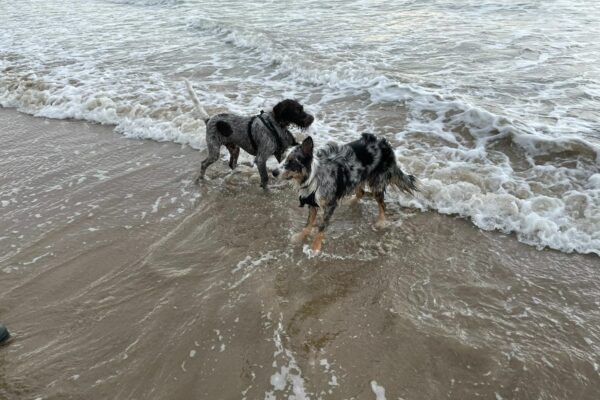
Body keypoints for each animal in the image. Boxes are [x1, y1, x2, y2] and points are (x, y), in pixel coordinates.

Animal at [183, 80, 314, 190]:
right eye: (297, 111)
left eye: (302, 108)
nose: (312, 118)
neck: (273, 124)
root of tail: (209, 119)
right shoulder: (261, 159)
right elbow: (265, 178)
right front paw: (267, 190)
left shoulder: (279, 153)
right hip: (214, 152)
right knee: (204, 164)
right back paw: (202, 178)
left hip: (235, 149)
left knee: (232, 164)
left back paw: (236, 174)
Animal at [278, 134, 414, 253]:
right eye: (281, 158)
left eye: (291, 161)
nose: (274, 172)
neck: (313, 177)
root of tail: (385, 144)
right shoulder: (312, 203)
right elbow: (308, 224)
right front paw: (300, 236)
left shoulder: (329, 205)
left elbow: (321, 227)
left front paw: (315, 247)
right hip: (356, 178)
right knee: (361, 192)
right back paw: (351, 202)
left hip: (377, 182)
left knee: (382, 204)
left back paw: (381, 222)